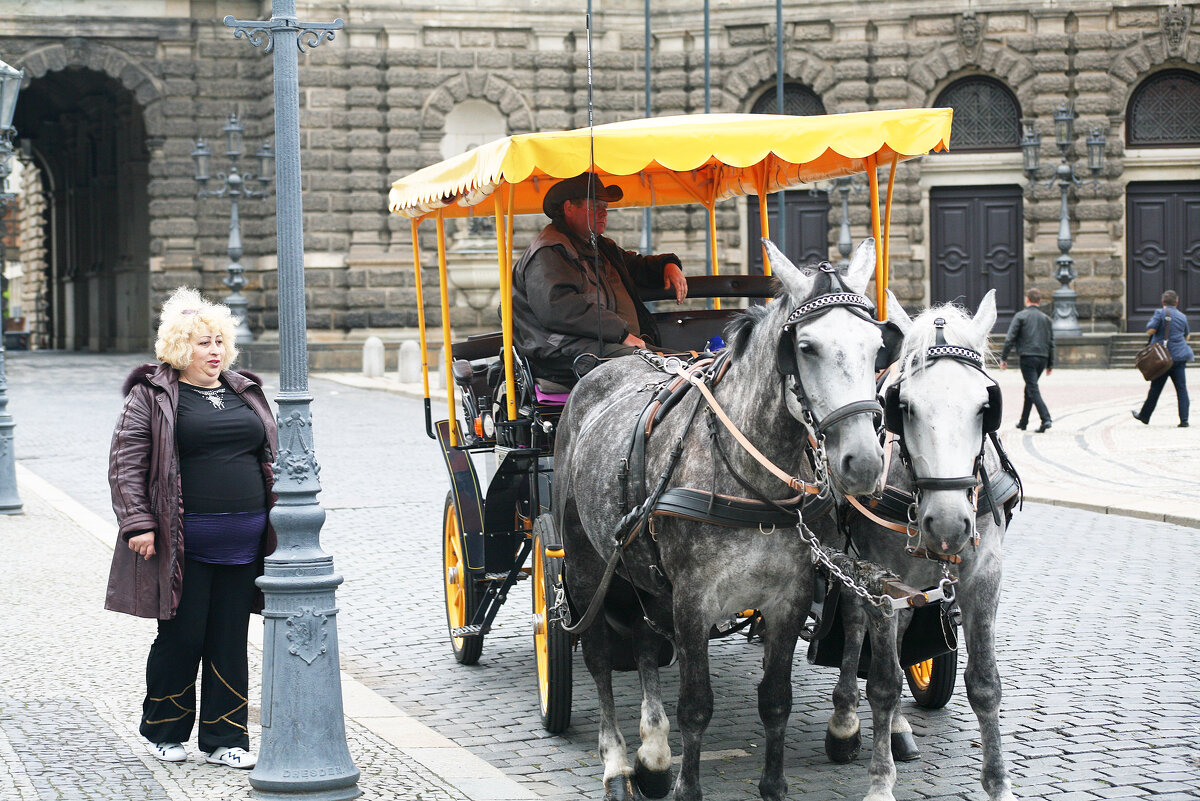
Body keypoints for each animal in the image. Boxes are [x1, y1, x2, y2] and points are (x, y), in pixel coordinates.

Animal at [552, 241, 907, 801]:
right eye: (806, 348)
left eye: (877, 348)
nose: (865, 463)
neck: (751, 483)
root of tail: (598, 368)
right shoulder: (694, 600)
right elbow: (697, 705)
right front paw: (688, 788)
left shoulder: (788, 598)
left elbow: (776, 698)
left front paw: (773, 785)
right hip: (586, 562)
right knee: (601, 655)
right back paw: (616, 764)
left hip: (643, 569)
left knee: (647, 644)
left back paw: (654, 752)